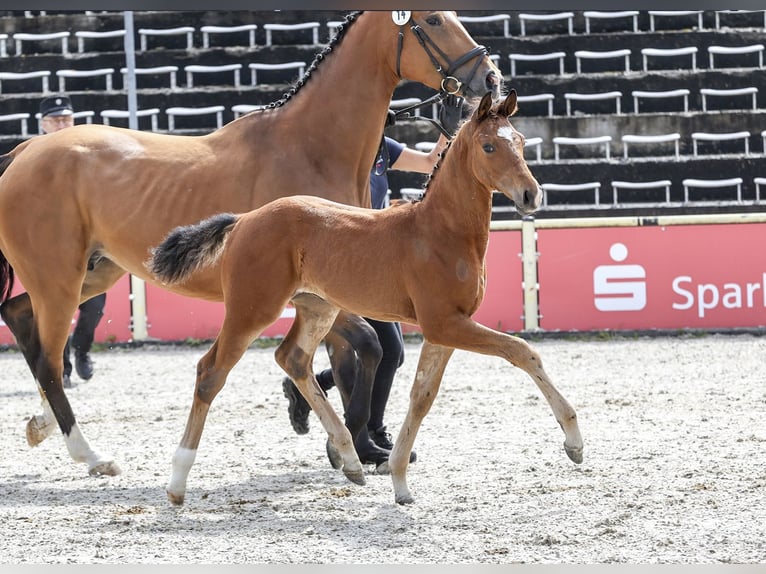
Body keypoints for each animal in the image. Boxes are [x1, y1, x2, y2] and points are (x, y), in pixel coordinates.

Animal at [0, 11, 500, 480]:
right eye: (432, 19)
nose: (490, 77)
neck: (311, 146)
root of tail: (25, 151)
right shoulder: (313, 291)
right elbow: (367, 349)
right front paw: (350, 444)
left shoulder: (329, 292)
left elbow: (352, 359)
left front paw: (349, 443)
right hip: (59, 281)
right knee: (48, 358)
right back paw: (91, 456)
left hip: (93, 271)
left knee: (21, 320)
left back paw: (41, 425)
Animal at [147, 91, 584, 508]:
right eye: (489, 146)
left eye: (521, 141)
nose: (530, 195)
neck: (439, 232)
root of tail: (243, 220)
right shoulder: (445, 323)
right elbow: (523, 351)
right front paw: (574, 442)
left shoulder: (445, 328)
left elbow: (421, 397)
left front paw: (400, 482)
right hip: (251, 309)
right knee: (210, 372)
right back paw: (177, 484)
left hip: (317, 307)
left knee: (293, 358)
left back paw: (350, 459)